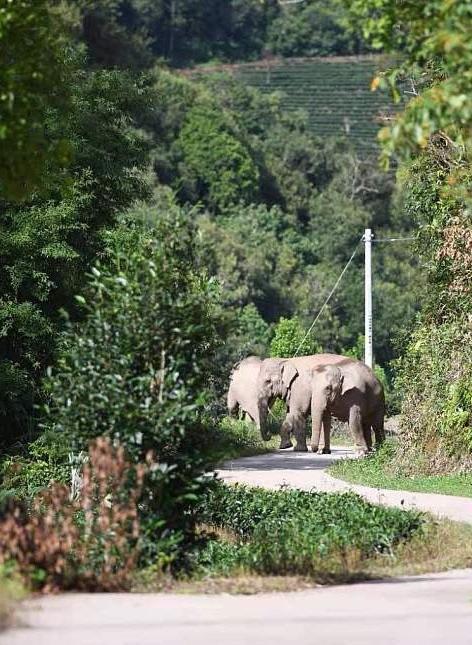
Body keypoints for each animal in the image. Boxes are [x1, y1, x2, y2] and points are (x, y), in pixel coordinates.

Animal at [256, 352, 386, 452]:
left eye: (267, 381)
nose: (269, 436)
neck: (286, 360)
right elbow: (290, 414)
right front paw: (285, 446)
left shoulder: (300, 387)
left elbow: (299, 413)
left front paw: (298, 449)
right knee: (366, 423)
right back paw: (370, 449)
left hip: (379, 402)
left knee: (376, 424)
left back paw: (380, 449)